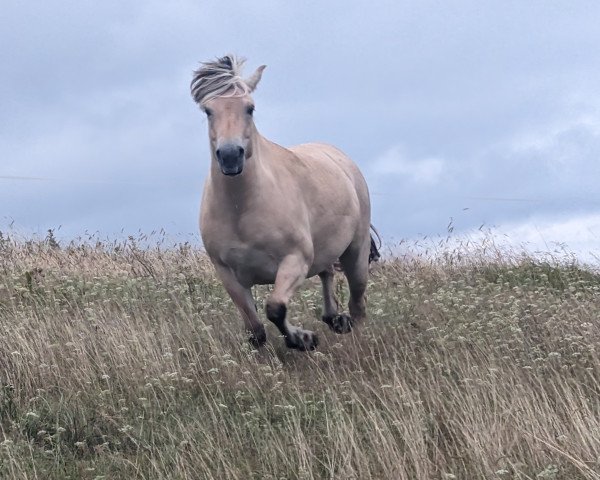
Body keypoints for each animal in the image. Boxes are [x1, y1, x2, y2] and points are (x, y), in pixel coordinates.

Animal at [190, 55, 378, 348]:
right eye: (208, 111)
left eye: (250, 108)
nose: (231, 156)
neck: (242, 210)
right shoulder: (228, 274)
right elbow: (256, 330)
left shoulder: (295, 261)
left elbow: (275, 308)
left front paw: (303, 339)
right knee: (327, 274)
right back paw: (333, 318)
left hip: (355, 254)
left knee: (358, 304)